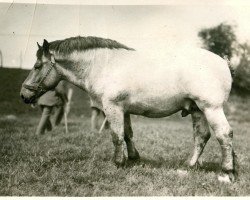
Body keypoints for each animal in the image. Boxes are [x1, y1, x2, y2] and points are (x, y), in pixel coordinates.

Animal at [20, 35, 237, 182]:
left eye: (37, 66)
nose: (23, 95)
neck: (103, 65)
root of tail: (223, 61)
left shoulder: (112, 108)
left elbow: (116, 136)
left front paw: (118, 163)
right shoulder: (123, 110)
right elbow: (127, 134)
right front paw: (133, 158)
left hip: (211, 108)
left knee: (224, 135)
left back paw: (227, 172)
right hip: (198, 110)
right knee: (201, 136)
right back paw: (189, 166)